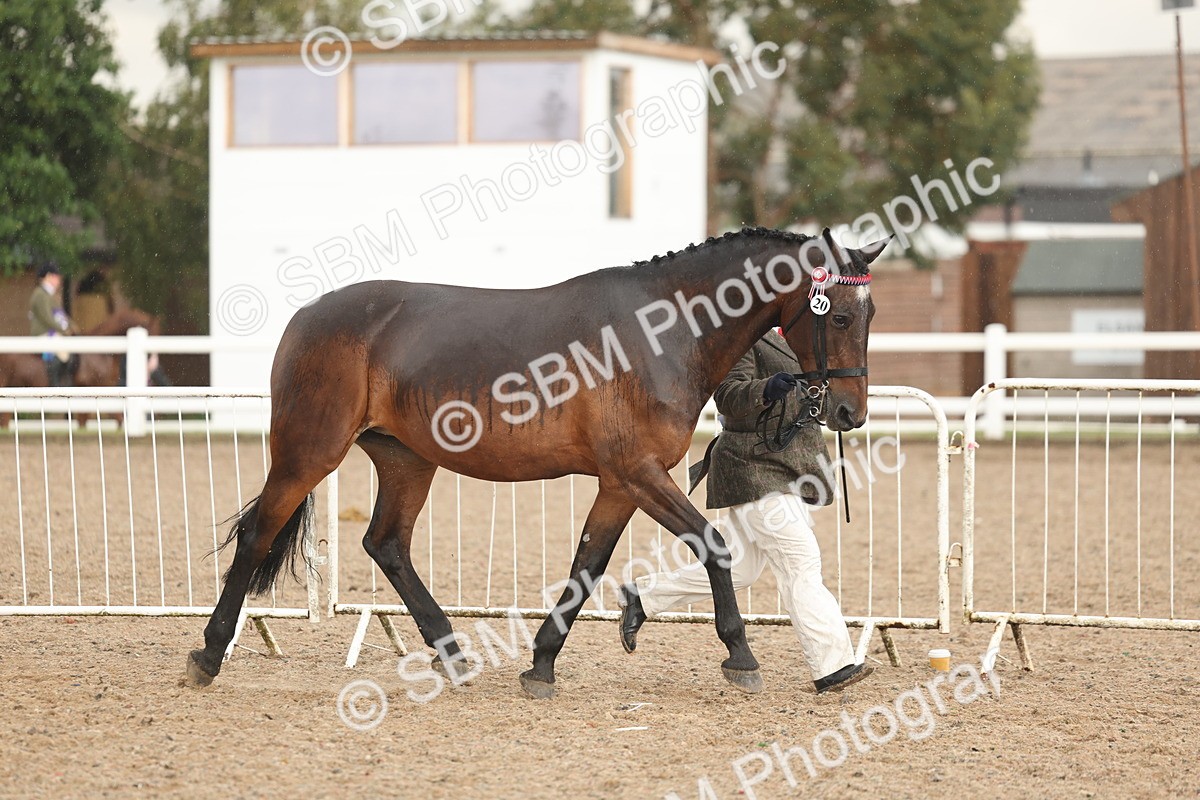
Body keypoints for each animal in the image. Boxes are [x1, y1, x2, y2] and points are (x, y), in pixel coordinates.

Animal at [183, 227, 888, 698]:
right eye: (840, 315)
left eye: (871, 312)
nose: (848, 411)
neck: (663, 332)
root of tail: (308, 316)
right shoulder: (638, 473)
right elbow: (711, 545)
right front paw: (740, 655)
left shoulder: (620, 484)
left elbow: (588, 565)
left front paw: (542, 663)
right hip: (309, 450)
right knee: (258, 534)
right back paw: (209, 654)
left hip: (408, 460)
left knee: (386, 543)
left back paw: (451, 653)